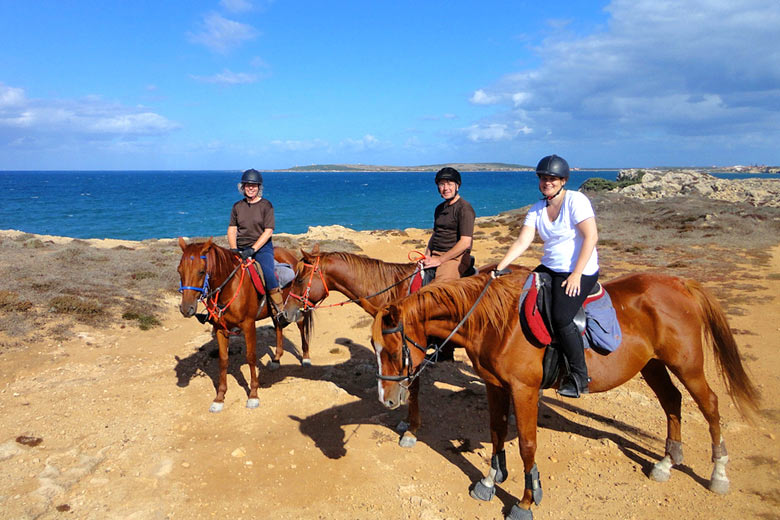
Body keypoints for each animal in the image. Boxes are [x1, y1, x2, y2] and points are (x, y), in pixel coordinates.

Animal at [177, 238, 310, 412]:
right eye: (179, 271)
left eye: (201, 271)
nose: (186, 309)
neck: (229, 287)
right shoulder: (220, 329)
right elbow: (223, 360)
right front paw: (219, 398)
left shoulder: (248, 325)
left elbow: (251, 357)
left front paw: (253, 395)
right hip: (275, 311)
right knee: (278, 327)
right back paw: (276, 359)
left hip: (295, 305)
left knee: (301, 325)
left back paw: (306, 358)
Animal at [280, 247, 516, 446]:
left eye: (299, 279)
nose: (286, 312)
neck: (397, 294)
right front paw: (406, 422)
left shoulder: (413, 353)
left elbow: (414, 389)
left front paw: (411, 431)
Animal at [372, 270, 760, 516]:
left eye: (391, 349)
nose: (387, 400)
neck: (496, 322)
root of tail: (681, 283)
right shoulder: (495, 386)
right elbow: (496, 432)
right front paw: (490, 480)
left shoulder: (524, 391)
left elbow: (527, 445)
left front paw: (526, 502)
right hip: (652, 364)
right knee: (671, 402)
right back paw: (666, 462)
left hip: (687, 365)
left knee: (710, 405)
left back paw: (718, 474)